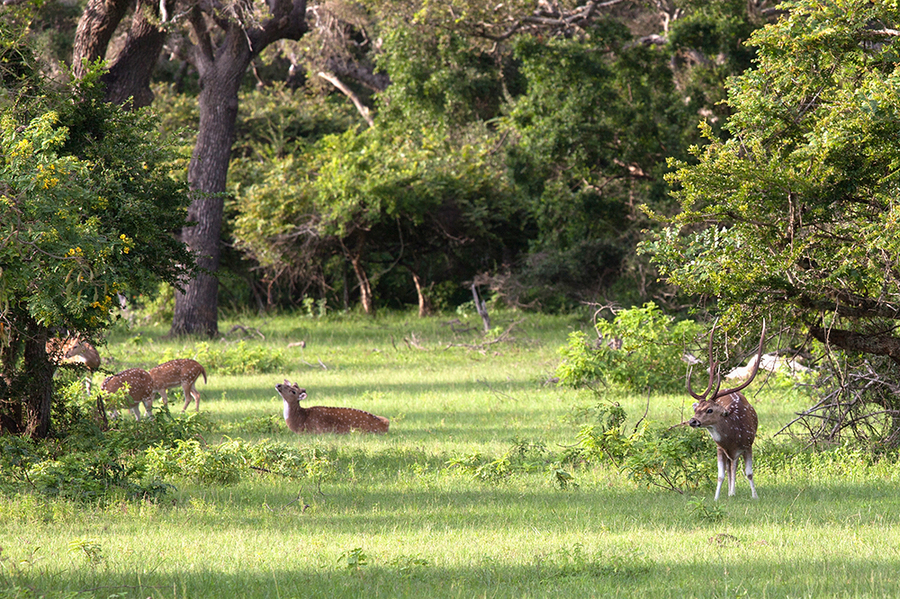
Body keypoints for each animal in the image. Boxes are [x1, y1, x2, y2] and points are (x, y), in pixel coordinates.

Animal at [688, 324, 768, 502]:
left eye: (710, 410)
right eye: (696, 409)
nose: (693, 421)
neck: (733, 437)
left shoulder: (748, 444)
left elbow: (749, 473)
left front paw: (755, 496)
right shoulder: (719, 448)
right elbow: (720, 475)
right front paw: (716, 498)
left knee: (734, 465)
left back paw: (733, 492)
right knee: (731, 466)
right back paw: (731, 492)